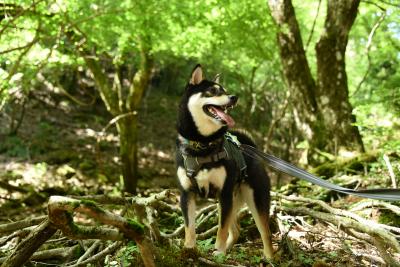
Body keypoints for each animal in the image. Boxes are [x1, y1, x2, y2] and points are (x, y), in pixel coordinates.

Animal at [177, 65, 274, 260]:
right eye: (213, 91)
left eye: (225, 91)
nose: (234, 97)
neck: (203, 144)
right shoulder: (187, 194)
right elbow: (189, 228)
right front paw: (189, 249)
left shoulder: (224, 193)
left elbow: (220, 230)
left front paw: (219, 252)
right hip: (230, 201)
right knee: (236, 230)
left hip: (253, 199)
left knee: (265, 233)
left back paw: (269, 258)